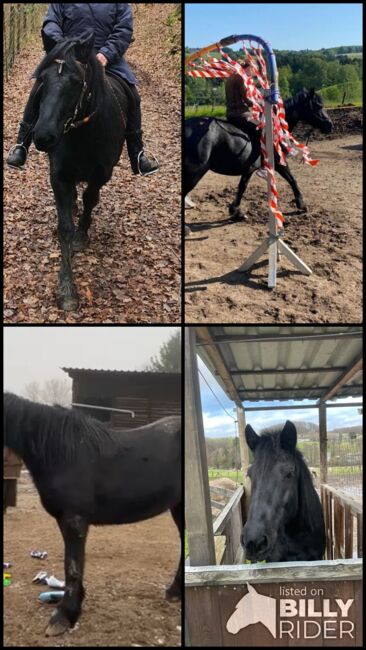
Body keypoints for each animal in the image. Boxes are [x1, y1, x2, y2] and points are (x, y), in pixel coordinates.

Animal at [2, 390, 180, 632]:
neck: (60, 452)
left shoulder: (74, 519)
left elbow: (72, 566)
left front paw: (64, 616)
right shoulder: (64, 519)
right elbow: (73, 563)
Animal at [31, 33, 129, 312]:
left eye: (76, 82)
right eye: (43, 79)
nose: (43, 136)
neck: (83, 134)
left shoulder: (101, 174)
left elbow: (90, 200)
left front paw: (82, 235)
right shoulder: (59, 176)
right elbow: (64, 227)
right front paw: (66, 289)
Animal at [184, 88, 334, 233]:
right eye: (318, 106)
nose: (330, 125)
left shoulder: (249, 169)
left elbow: (242, 187)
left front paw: (236, 212)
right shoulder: (279, 164)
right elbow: (292, 180)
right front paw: (301, 205)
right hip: (195, 172)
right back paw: (185, 228)